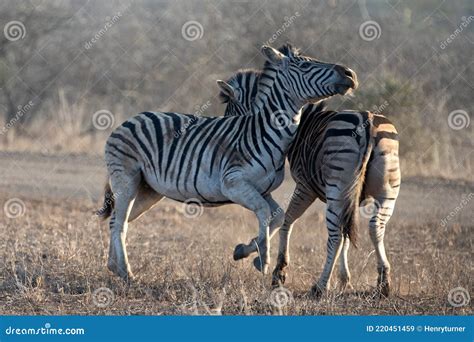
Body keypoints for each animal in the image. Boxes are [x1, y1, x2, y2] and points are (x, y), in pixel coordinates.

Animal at [97, 44, 356, 280]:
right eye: (304, 65)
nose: (350, 74)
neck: (264, 132)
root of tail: (129, 120)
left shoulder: (263, 190)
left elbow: (277, 216)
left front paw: (247, 251)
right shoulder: (233, 184)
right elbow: (264, 213)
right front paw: (263, 260)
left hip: (148, 189)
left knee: (118, 220)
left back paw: (114, 267)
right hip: (126, 179)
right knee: (119, 222)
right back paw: (127, 273)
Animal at [218, 67, 400, 296]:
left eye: (231, 115)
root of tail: (366, 121)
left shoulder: (305, 187)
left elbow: (286, 221)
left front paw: (276, 270)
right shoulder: (350, 200)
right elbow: (348, 235)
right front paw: (344, 280)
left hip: (337, 190)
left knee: (335, 236)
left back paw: (320, 286)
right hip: (387, 191)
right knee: (375, 228)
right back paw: (383, 282)